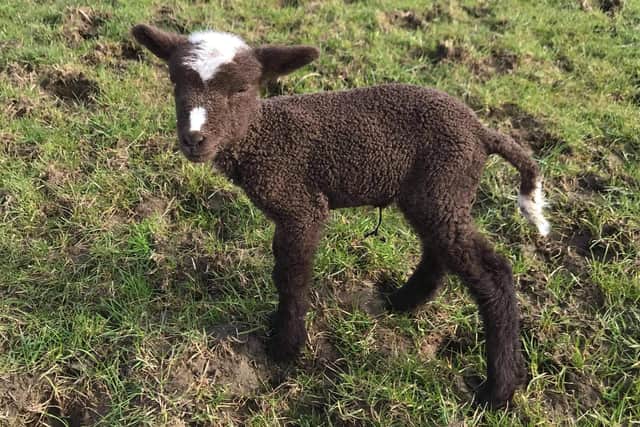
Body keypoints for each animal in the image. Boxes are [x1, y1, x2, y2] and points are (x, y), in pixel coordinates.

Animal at [131, 24, 551, 408]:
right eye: (174, 82)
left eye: (241, 89)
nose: (194, 140)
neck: (260, 137)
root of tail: (481, 132)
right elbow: (286, 270)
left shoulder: (301, 206)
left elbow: (291, 275)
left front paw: (285, 347)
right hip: (437, 193)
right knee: (438, 251)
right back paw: (400, 302)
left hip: (445, 181)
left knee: (492, 271)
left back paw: (497, 390)